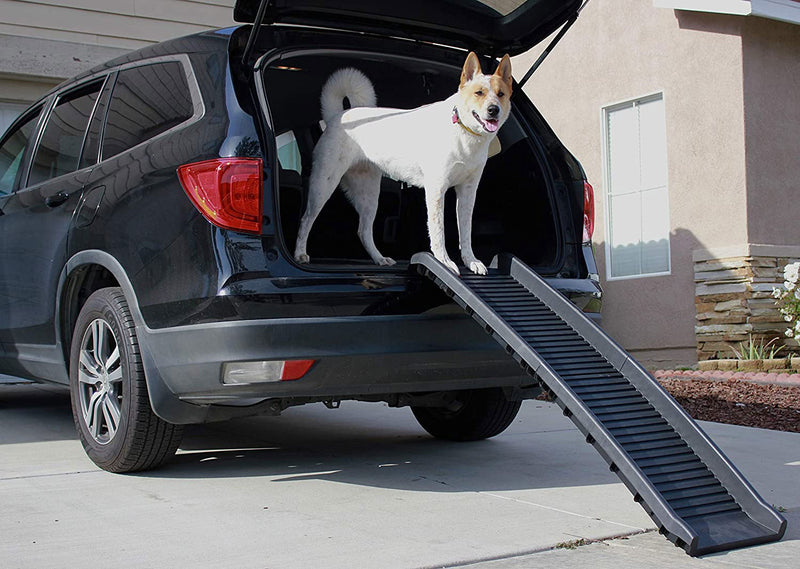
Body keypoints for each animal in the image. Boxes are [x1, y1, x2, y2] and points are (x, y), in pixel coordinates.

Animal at [294, 51, 512, 276]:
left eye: (501, 94)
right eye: (479, 93)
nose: (494, 110)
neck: (464, 132)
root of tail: (337, 117)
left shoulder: (468, 192)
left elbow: (466, 233)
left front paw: (471, 261)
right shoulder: (436, 190)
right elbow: (438, 232)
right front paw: (445, 262)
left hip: (369, 193)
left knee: (363, 231)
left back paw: (379, 259)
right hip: (324, 185)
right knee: (306, 219)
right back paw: (300, 254)